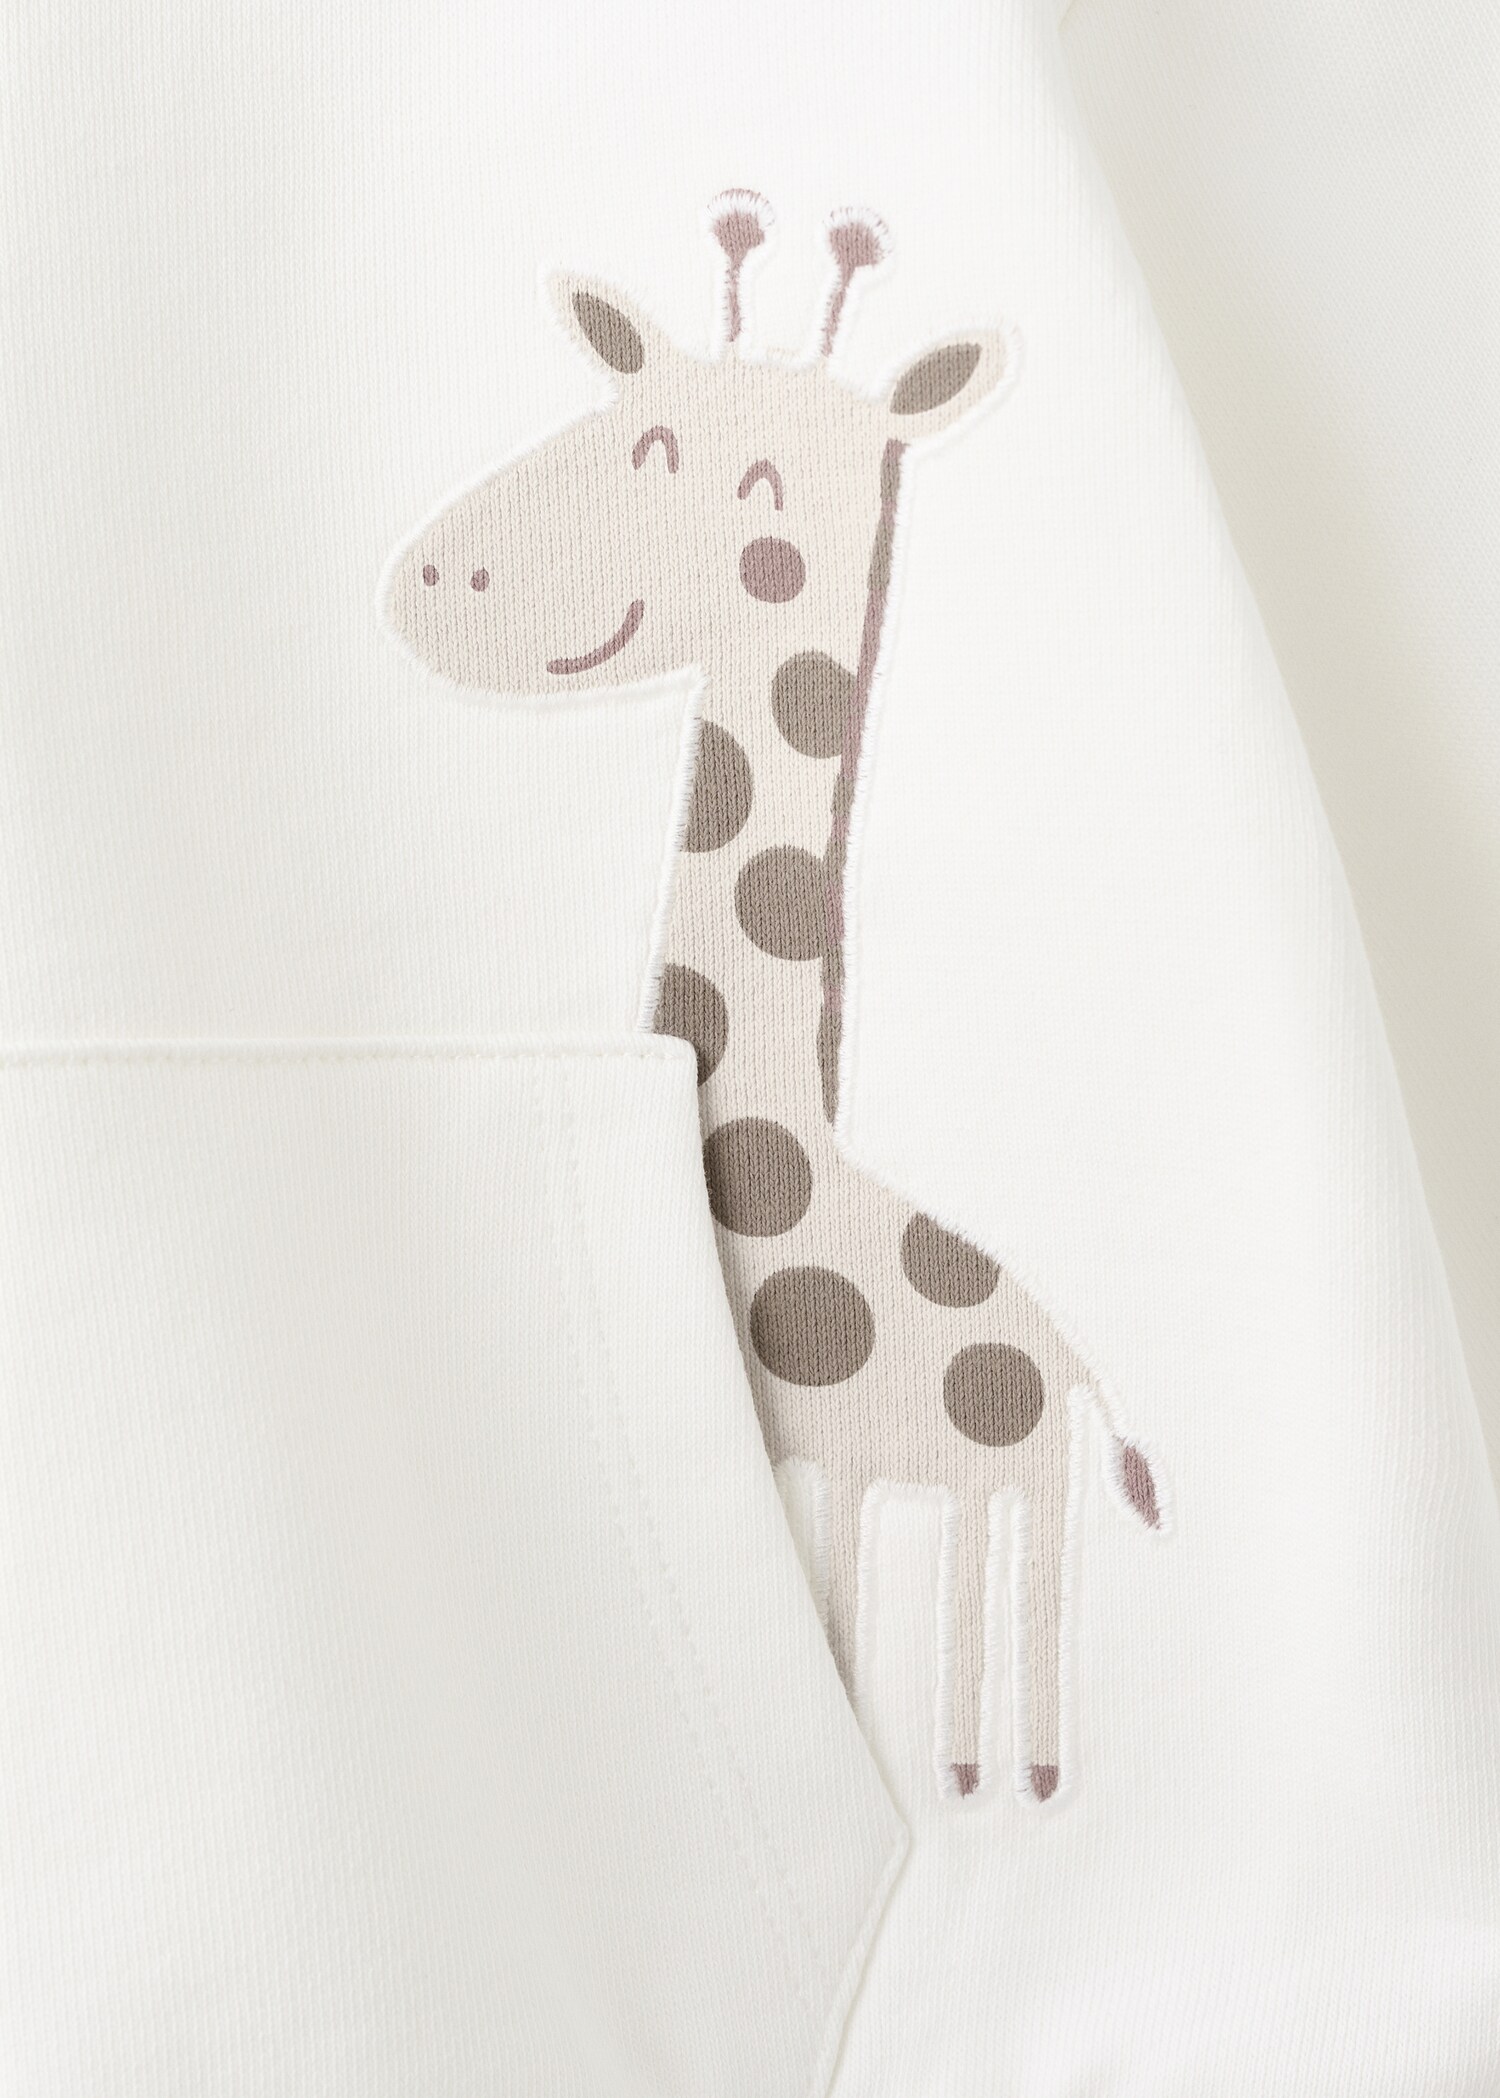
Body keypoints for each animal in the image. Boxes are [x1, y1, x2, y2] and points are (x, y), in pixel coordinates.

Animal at [383, 194, 1163, 1803]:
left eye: (730, 476)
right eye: (625, 416)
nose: (434, 581)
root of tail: (1077, 1371)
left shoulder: (825, 1462)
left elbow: (847, 1638)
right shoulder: (818, 1470)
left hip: (1019, 1480)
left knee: (1019, 1604)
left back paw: (1009, 1776)